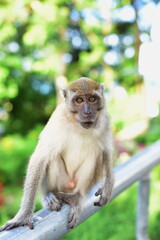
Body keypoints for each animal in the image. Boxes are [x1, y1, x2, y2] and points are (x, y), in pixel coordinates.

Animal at [0, 77, 114, 231]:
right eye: (79, 100)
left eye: (92, 99)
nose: (87, 112)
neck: (77, 124)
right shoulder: (57, 120)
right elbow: (39, 158)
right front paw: (23, 216)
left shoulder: (105, 119)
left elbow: (106, 149)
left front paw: (108, 186)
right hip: (63, 182)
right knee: (52, 157)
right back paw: (49, 194)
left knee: (96, 153)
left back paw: (77, 196)